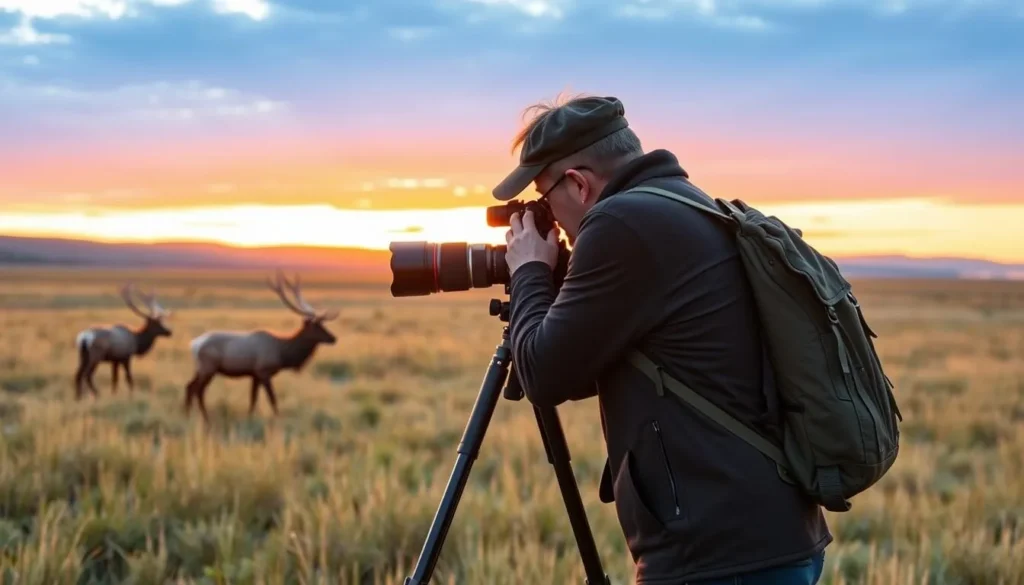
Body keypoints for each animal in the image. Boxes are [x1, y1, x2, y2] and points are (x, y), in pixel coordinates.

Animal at [184, 271, 338, 423]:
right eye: (316, 326)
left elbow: (253, 399)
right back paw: (205, 418)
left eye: (323, 324)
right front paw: (278, 420)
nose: (333, 338)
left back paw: (187, 414)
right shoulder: (264, 372)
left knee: (189, 386)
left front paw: (250, 418)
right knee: (198, 390)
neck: (282, 353)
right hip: (208, 367)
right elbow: (272, 399)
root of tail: (194, 344)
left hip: (199, 368)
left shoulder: (255, 374)